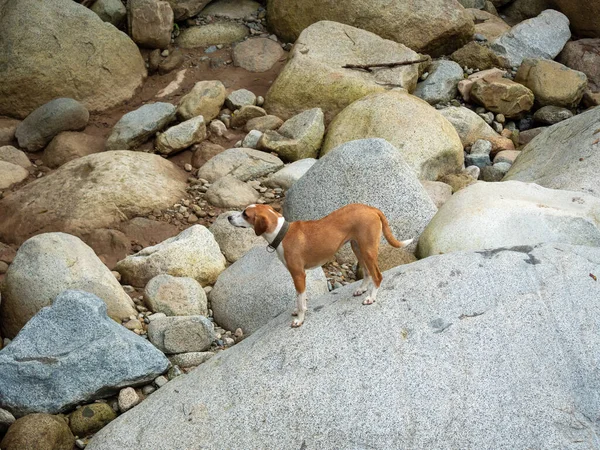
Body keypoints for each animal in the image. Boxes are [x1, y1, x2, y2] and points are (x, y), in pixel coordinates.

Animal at [229, 204, 412, 326]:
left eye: (245, 214)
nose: (229, 217)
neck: (282, 233)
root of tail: (371, 208)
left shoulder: (298, 275)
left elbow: (300, 300)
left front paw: (299, 319)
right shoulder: (300, 276)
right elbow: (300, 299)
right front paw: (299, 309)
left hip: (367, 250)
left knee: (378, 276)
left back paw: (371, 298)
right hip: (358, 248)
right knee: (367, 273)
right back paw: (361, 289)